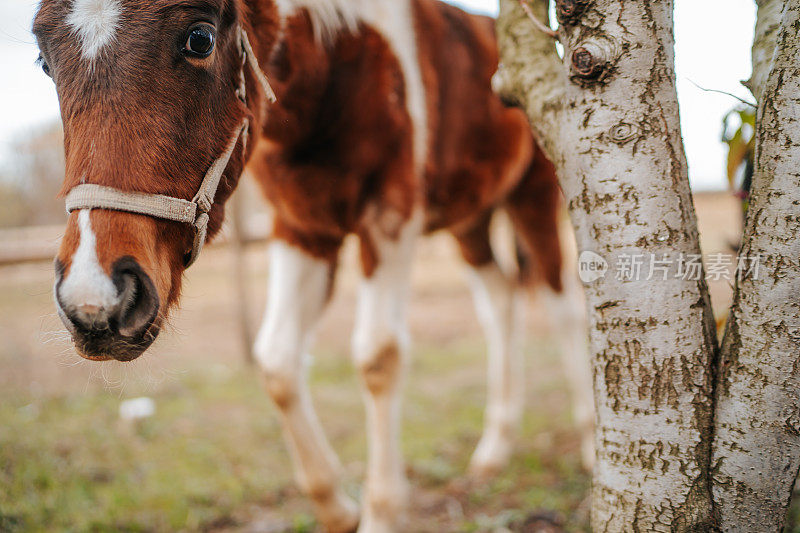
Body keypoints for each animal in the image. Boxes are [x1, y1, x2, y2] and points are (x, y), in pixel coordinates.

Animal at [34, 1, 592, 528]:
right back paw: (493, 452)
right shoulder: (301, 230)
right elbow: (277, 359)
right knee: (500, 302)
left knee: (562, 304)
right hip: (470, 220)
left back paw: (589, 446)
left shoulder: (389, 221)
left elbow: (378, 356)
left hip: (535, 196)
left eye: (200, 38)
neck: (335, 64)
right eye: (44, 61)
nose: (95, 299)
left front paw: (381, 513)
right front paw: (339, 509)